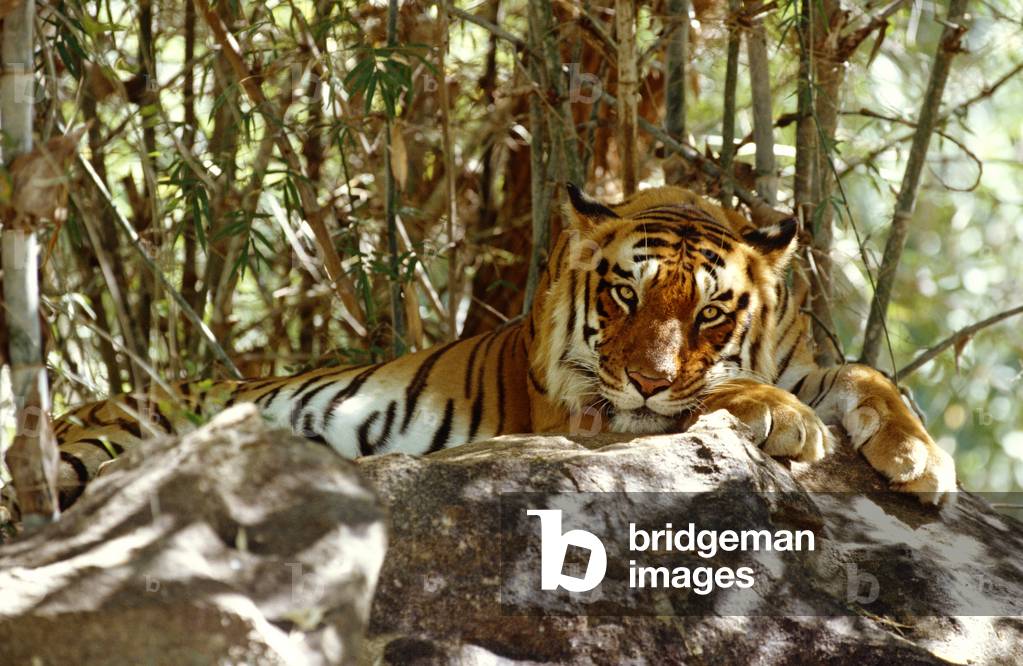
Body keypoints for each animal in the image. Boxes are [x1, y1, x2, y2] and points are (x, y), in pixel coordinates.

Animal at [21, 184, 957, 512]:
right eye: (624, 295)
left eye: (708, 314)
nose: (647, 381)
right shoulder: (588, 408)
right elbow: (710, 399)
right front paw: (783, 419)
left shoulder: (806, 358)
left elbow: (867, 373)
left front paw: (916, 456)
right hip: (104, 437)